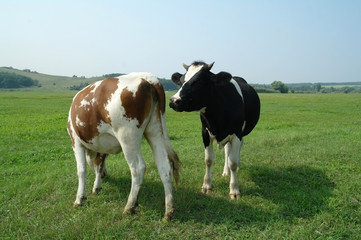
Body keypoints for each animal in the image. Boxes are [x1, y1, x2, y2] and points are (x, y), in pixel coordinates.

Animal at [67, 72, 179, 220]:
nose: (105, 175)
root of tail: (148, 78)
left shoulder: (76, 141)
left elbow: (82, 170)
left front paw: (80, 198)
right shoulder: (101, 146)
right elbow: (98, 165)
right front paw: (97, 185)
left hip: (127, 136)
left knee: (138, 168)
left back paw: (130, 206)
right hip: (155, 131)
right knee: (164, 167)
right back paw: (169, 211)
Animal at [169, 61, 258, 199]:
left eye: (199, 81)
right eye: (182, 81)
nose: (174, 100)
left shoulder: (237, 133)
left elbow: (232, 162)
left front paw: (234, 189)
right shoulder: (205, 132)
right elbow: (208, 160)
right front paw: (206, 185)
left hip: (241, 133)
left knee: (237, 151)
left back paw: (237, 166)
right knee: (227, 151)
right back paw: (226, 172)